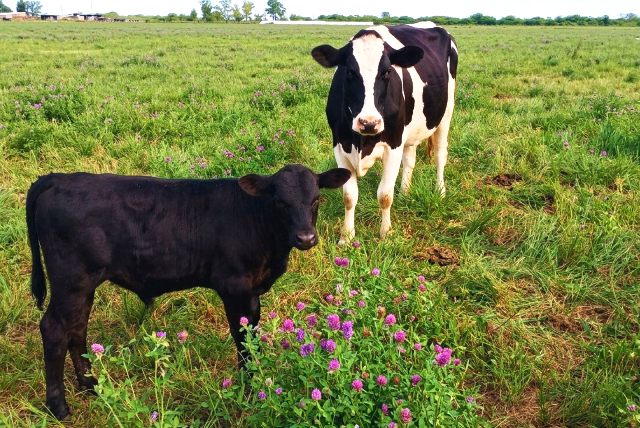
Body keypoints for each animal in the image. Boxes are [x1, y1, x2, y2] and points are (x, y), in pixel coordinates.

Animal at [26, 164, 350, 420]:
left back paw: (91, 385)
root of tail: (60, 178)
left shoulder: (252, 293)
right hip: (71, 282)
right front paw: (249, 388)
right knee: (55, 330)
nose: (306, 237)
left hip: (82, 287)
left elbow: (253, 335)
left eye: (316, 199)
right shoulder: (235, 287)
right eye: (280, 202)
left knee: (77, 328)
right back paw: (59, 407)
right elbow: (242, 338)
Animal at [311, 22, 458, 244]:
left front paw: (385, 234)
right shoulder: (340, 145)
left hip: (445, 113)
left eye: (387, 72)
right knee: (410, 158)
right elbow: (349, 196)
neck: (361, 141)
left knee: (440, 154)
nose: (369, 123)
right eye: (349, 72)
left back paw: (440, 191)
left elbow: (385, 195)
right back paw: (405, 192)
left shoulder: (393, 145)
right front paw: (346, 237)